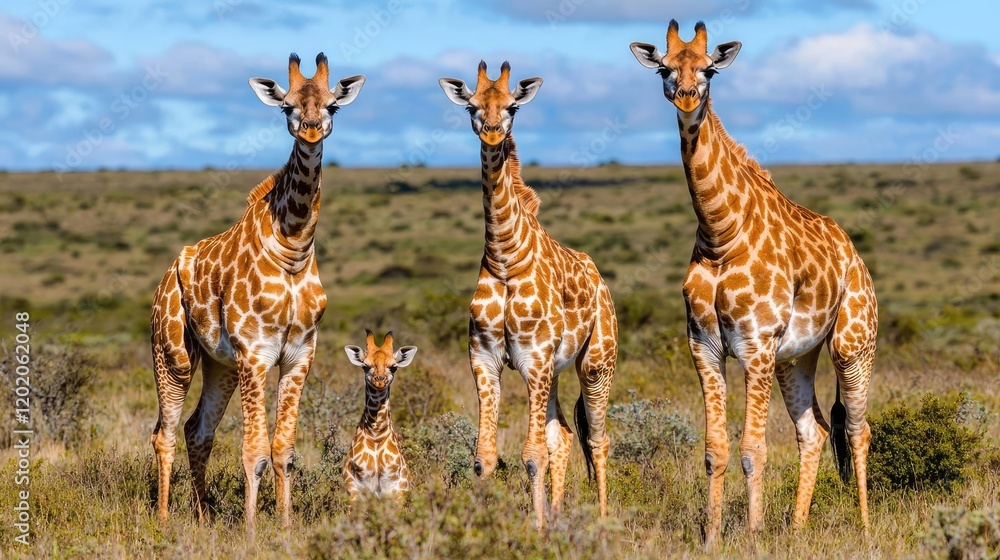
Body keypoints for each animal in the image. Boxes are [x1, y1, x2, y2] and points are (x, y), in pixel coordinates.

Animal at [149, 52, 366, 534]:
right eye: (286, 106)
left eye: (332, 106)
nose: (310, 129)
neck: (293, 250)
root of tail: (166, 277)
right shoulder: (256, 353)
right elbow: (254, 451)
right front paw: (250, 531)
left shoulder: (299, 355)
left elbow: (283, 449)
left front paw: (285, 526)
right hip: (174, 356)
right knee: (164, 432)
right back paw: (165, 518)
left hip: (220, 365)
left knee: (198, 430)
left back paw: (204, 516)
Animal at [342, 330, 417, 504]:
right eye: (365, 366)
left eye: (394, 367)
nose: (380, 381)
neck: (376, 434)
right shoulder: (354, 491)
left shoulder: (396, 491)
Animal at [439, 61, 619, 528]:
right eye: (472, 105)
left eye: (513, 106)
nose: (491, 132)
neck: (505, 256)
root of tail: (602, 283)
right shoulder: (484, 357)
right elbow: (485, 457)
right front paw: (481, 526)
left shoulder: (534, 358)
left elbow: (532, 454)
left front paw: (534, 530)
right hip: (553, 372)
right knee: (565, 435)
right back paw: (556, 514)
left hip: (596, 365)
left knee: (598, 439)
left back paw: (602, 519)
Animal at [630, 21, 877, 545]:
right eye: (664, 68)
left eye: (708, 70)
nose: (686, 97)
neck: (721, 231)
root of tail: (857, 257)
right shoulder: (704, 346)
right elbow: (715, 450)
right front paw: (711, 537)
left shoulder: (756, 344)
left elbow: (753, 450)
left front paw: (755, 532)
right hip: (796, 358)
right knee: (814, 431)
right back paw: (799, 529)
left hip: (851, 345)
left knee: (857, 430)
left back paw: (866, 528)